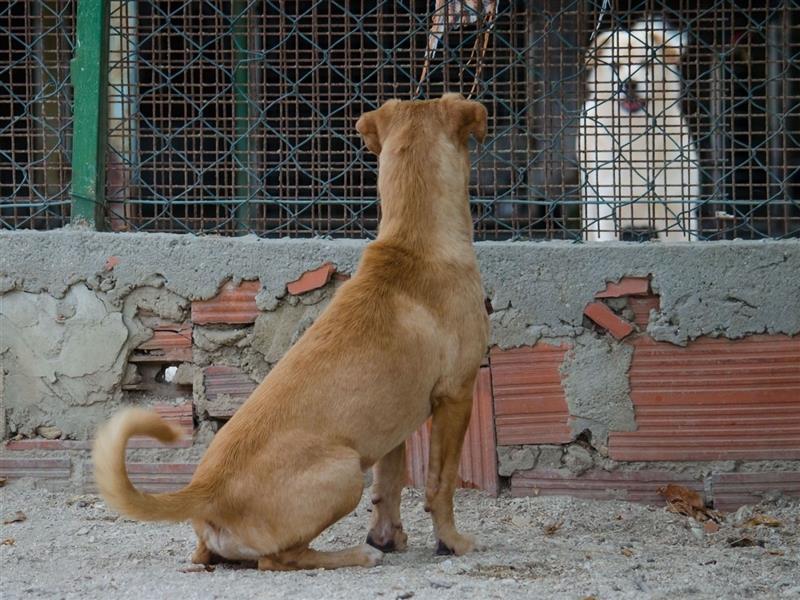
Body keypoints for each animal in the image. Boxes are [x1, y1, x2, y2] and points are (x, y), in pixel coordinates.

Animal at [95, 94, 494, 572]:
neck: (416, 242)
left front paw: (388, 537)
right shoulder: (456, 395)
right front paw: (451, 542)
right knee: (280, 559)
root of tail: (207, 492)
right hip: (344, 472)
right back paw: (353, 555)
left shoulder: (395, 421)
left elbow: (390, 485)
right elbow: (441, 484)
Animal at [580, 19, 696, 239]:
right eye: (616, 66)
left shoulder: (676, 211)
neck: (635, 131)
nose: (629, 84)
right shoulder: (606, 210)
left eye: (646, 64)